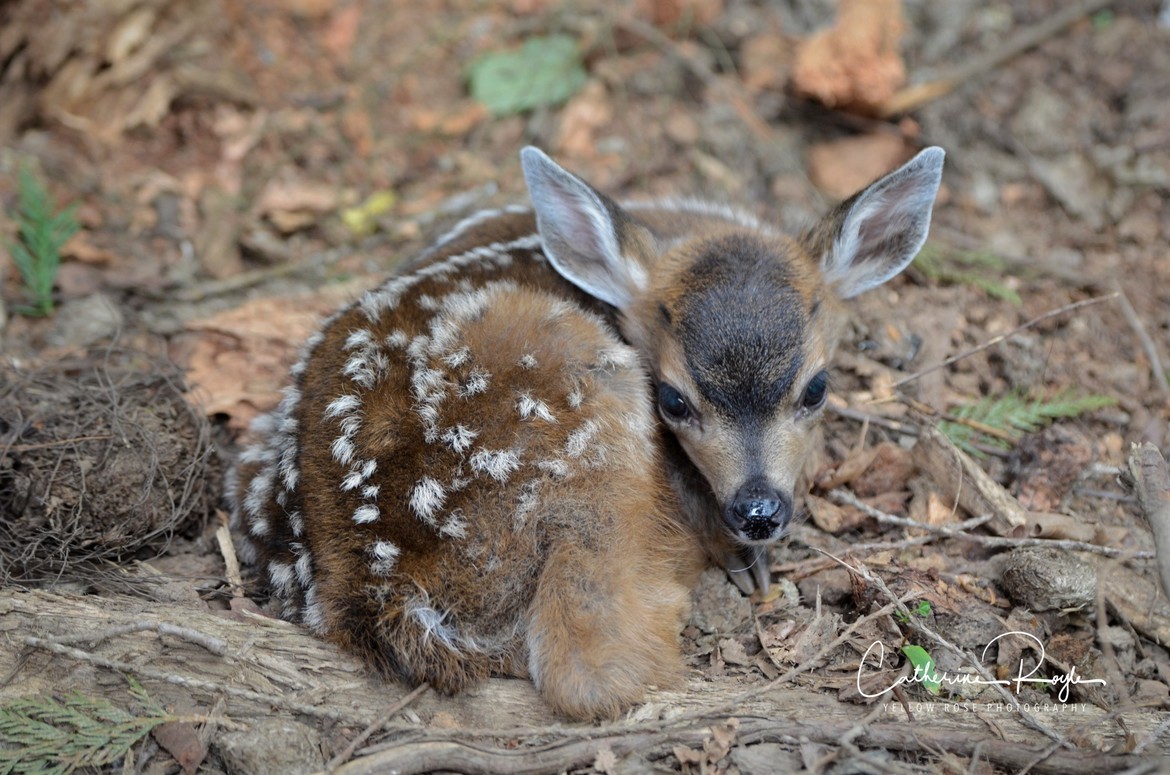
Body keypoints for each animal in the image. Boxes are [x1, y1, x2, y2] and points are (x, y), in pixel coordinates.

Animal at [228, 144, 944, 720]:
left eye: (816, 388)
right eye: (672, 400)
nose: (758, 510)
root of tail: (381, 589)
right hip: (585, 415)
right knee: (584, 665)